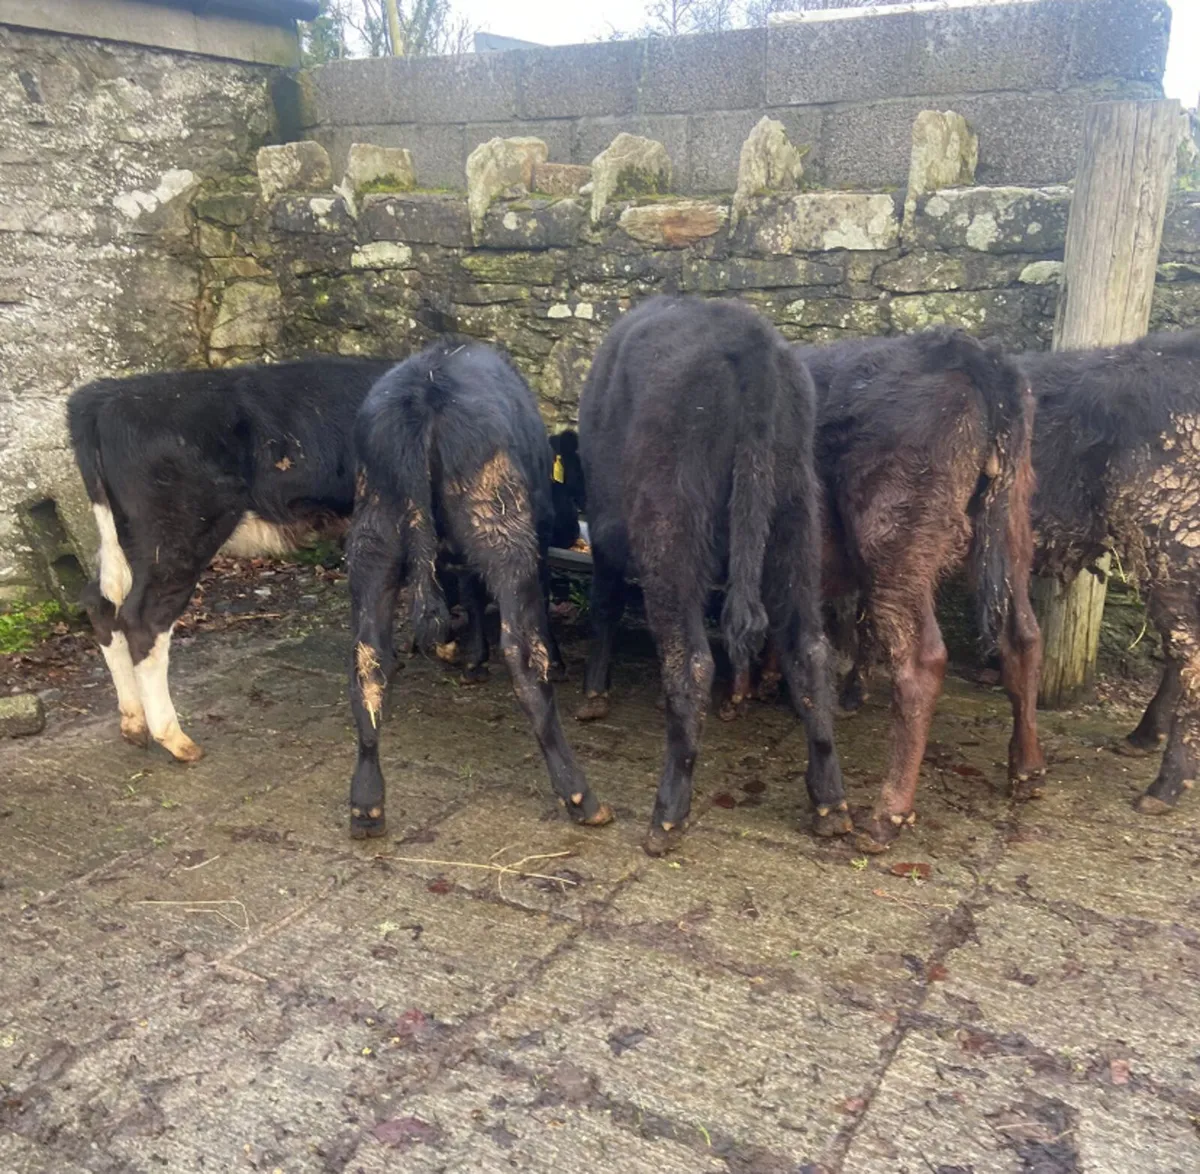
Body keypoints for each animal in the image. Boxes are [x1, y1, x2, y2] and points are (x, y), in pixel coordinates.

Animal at [68, 357, 394, 763]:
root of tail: (107, 394)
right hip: (176, 536)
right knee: (143, 619)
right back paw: (175, 740)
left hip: (121, 538)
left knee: (100, 602)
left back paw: (134, 723)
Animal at [345, 338, 612, 839]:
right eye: (575, 488)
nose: (572, 531)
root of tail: (423, 396)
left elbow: (469, 591)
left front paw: (471, 659)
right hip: (504, 530)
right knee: (523, 659)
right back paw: (580, 797)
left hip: (372, 535)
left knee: (367, 660)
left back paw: (367, 804)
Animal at [575, 296, 849, 855]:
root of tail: (753, 343)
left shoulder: (608, 525)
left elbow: (605, 604)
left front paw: (594, 694)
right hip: (795, 529)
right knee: (810, 653)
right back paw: (830, 804)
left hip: (670, 529)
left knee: (692, 662)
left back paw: (667, 815)